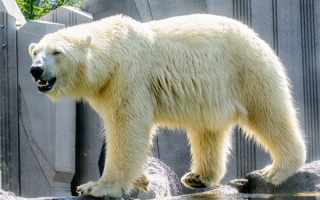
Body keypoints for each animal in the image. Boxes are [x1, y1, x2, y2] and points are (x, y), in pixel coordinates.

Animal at [28, 13, 306, 197]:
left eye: (57, 52)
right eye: (35, 52)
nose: (35, 70)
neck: (114, 52)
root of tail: (256, 36)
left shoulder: (129, 76)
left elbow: (127, 127)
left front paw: (96, 187)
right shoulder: (106, 87)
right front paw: (141, 179)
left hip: (246, 70)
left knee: (269, 113)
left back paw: (277, 171)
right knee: (207, 131)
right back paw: (198, 177)